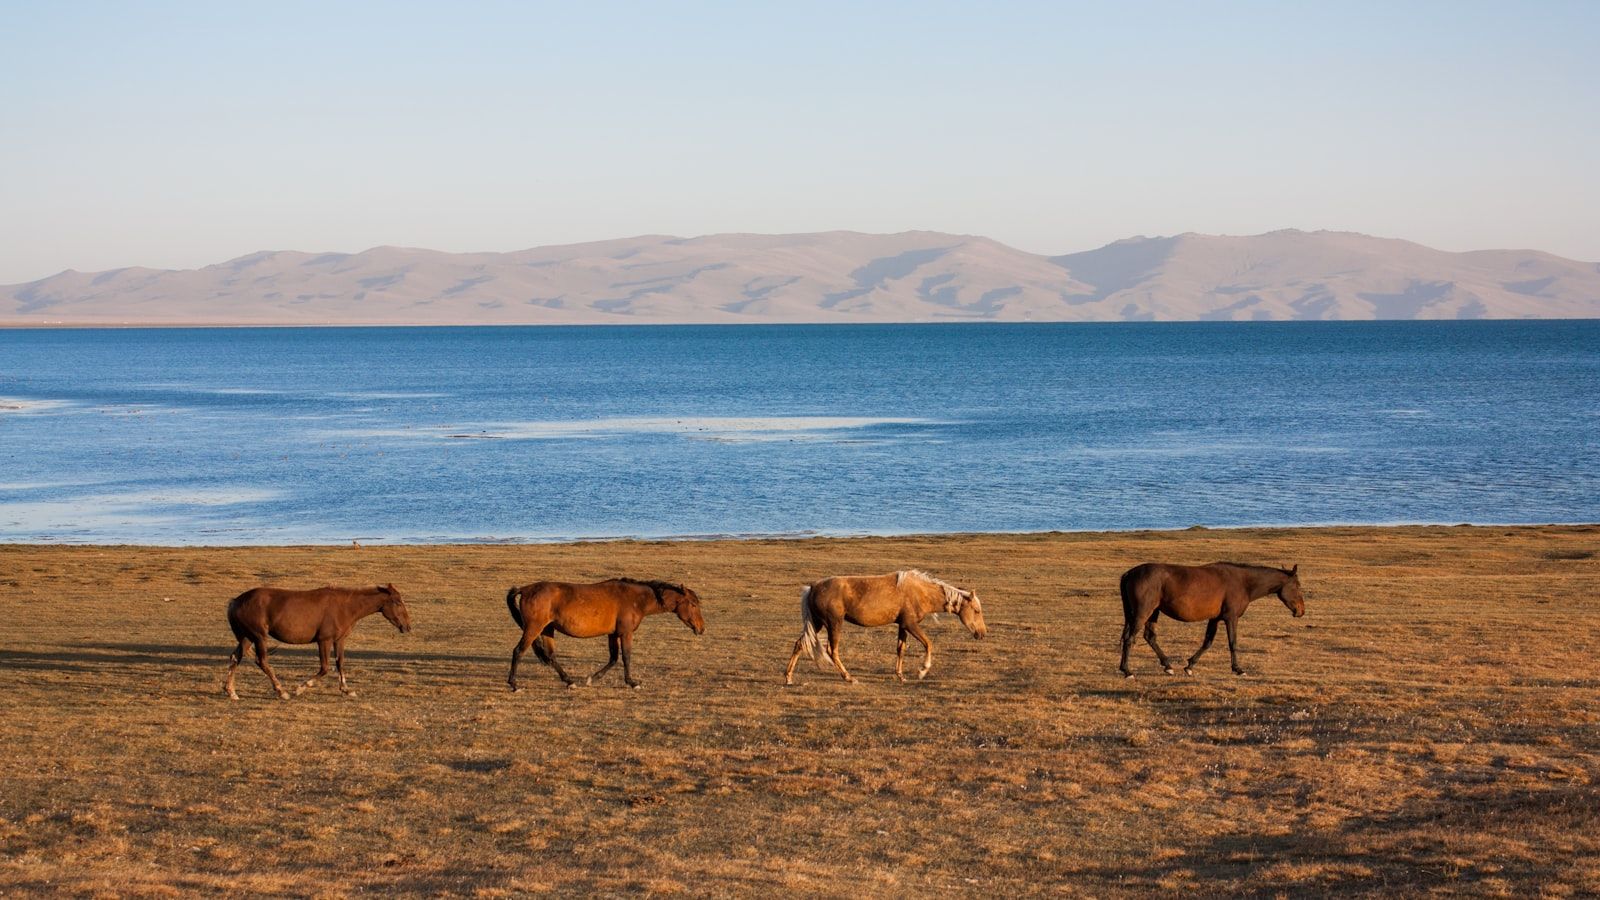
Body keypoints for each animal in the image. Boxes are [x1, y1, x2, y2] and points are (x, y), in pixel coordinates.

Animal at [224, 584, 412, 700]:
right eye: (397, 602)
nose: (407, 627)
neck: (345, 607)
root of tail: (236, 601)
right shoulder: (324, 641)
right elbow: (325, 668)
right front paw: (301, 688)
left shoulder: (339, 640)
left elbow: (340, 663)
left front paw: (346, 689)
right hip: (259, 637)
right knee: (262, 661)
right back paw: (281, 691)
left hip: (247, 637)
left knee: (235, 658)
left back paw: (231, 691)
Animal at [505, 578, 705, 691]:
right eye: (693, 604)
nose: (701, 628)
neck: (636, 599)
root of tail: (526, 589)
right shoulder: (625, 633)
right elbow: (626, 657)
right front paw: (632, 682)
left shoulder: (613, 634)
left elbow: (613, 658)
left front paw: (592, 679)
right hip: (533, 628)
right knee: (518, 651)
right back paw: (514, 685)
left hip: (547, 629)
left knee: (551, 656)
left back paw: (569, 681)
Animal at [785, 570, 987, 685]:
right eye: (976, 610)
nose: (982, 633)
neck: (920, 592)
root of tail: (812, 587)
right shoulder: (910, 625)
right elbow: (928, 644)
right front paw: (922, 671)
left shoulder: (903, 626)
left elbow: (900, 649)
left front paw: (901, 676)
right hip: (834, 624)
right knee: (832, 650)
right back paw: (849, 677)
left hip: (817, 624)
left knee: (800, 644)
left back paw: (788, 677)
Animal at [1118, 562, 1305, 678]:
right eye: (1298, 586)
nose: (1301, 611)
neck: (1243, 582)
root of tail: (1130, 573)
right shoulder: (1231, 618)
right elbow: (1232, 643)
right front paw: (1238, 669)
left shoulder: (1214, 619)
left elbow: (1207, 642)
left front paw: (1190, 666)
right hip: (1143, 612)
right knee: (1130, 639)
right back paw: (1128, 671)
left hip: (1153, 612)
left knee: (1149, 637)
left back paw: (1167, 666)